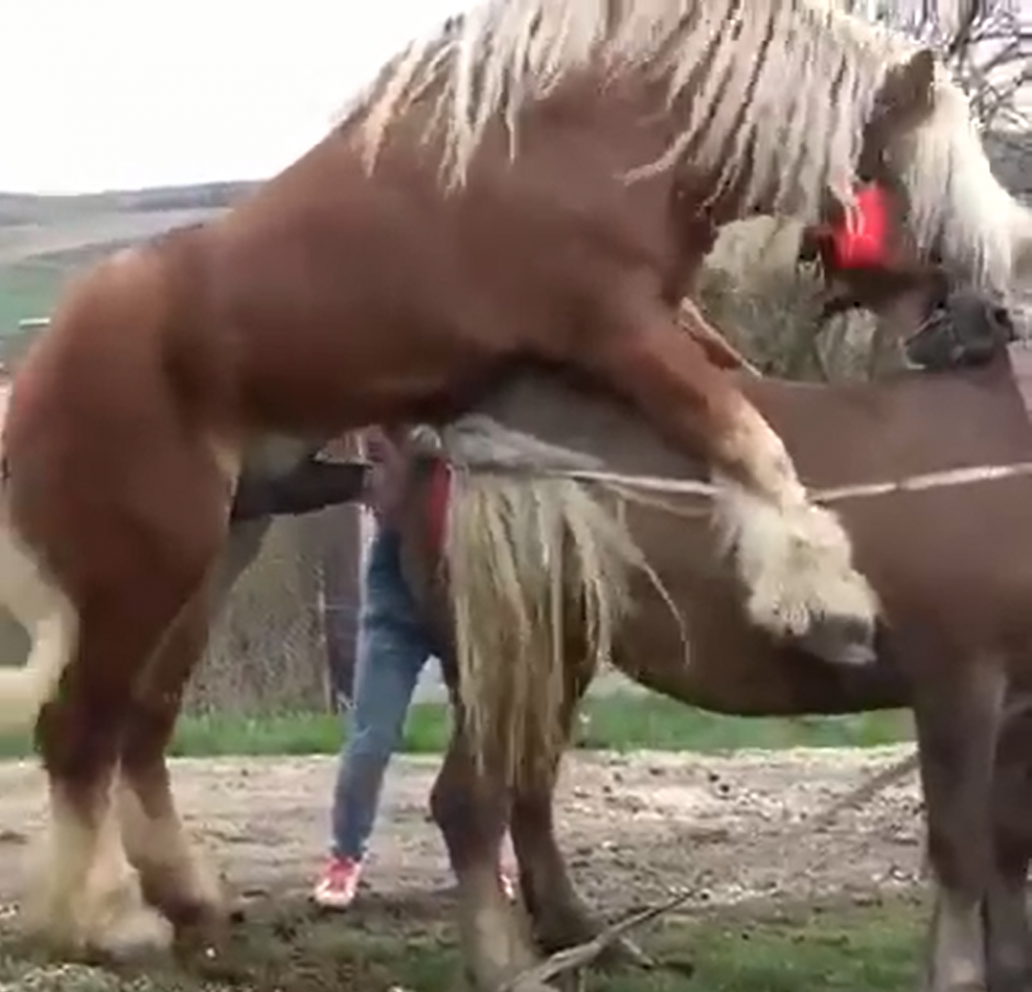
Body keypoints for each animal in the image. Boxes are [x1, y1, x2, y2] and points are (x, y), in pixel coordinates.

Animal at [390, 303, 1032, 990]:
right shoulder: (957, 680)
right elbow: (961, 848)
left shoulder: (1019, 703)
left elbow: (1009, 842)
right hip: (515, 653)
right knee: (470, 805)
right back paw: (504, 966)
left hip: (555, 659)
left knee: (525, 794)